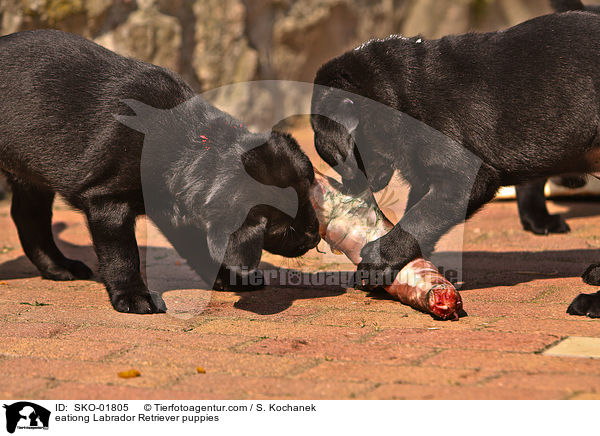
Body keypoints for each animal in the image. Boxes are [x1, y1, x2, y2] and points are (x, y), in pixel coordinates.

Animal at [0, 29, 322, 314]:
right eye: (284, 229)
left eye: (309, 197)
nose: (315, 238)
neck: (194, 141)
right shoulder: (108, 203)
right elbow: (122, 255)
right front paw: (134, 296)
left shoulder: (180, 210)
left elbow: (201, 246)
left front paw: (229, 276)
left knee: (29, 218)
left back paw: (59, 267)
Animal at [312, 10, 600, 316]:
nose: (349, 188)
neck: (398, 95)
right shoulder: (424, 179)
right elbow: (418, 215)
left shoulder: (467, 179)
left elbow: (418, 218)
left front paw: (378, 260)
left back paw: (590, 301)